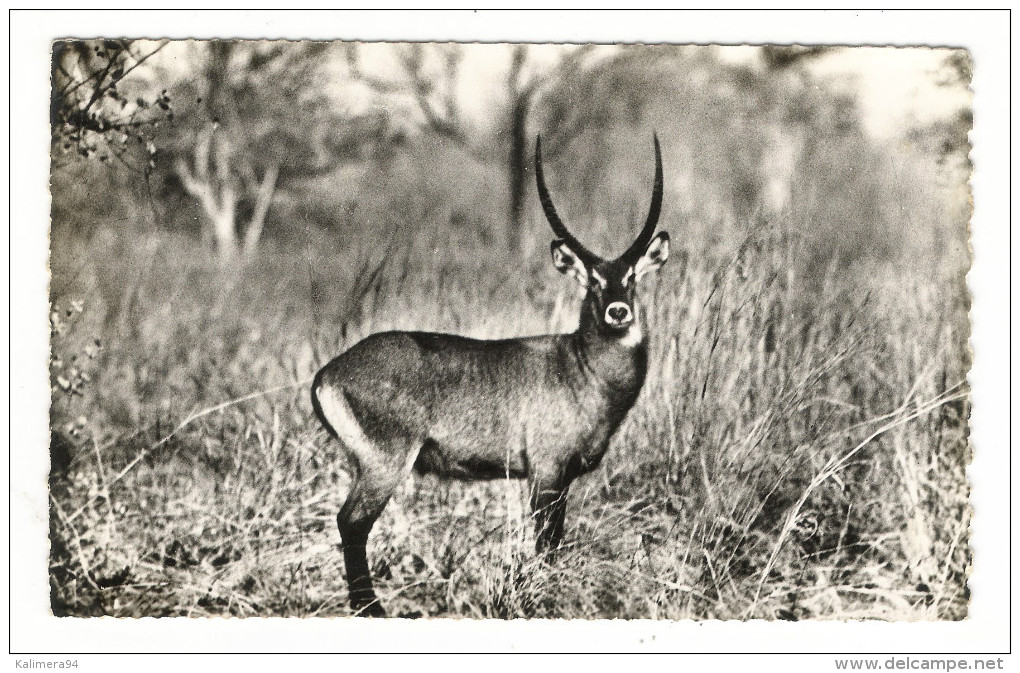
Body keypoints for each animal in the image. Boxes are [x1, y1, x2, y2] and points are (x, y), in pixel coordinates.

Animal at [314, 135, 673, 615]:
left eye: (631, 277)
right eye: (593, 280)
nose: (618, 312)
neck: (582, 368)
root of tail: (328, 373)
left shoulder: (562, 478)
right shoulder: (545, 472)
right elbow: (547, 543)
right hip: (384, 464)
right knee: (352, 523)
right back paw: (371, 609)